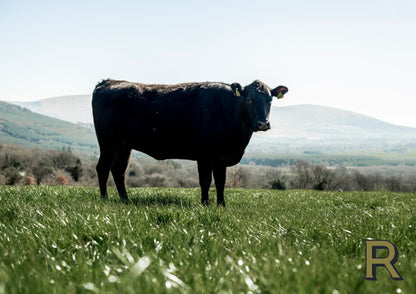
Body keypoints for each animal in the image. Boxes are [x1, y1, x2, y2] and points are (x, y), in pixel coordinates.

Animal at [91, 79, 288, 206]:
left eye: (269, 100)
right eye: (249, 99)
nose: (263, 123)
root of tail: (108, 81)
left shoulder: (221, 158)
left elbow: (221, 182)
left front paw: (221, 205)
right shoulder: (205, 155)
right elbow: (206, 181)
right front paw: (205, 204)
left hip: (124, 145)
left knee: (119, 170)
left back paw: (125, 200)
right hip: (108, 142)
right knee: (103, 168)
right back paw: (104, 199)